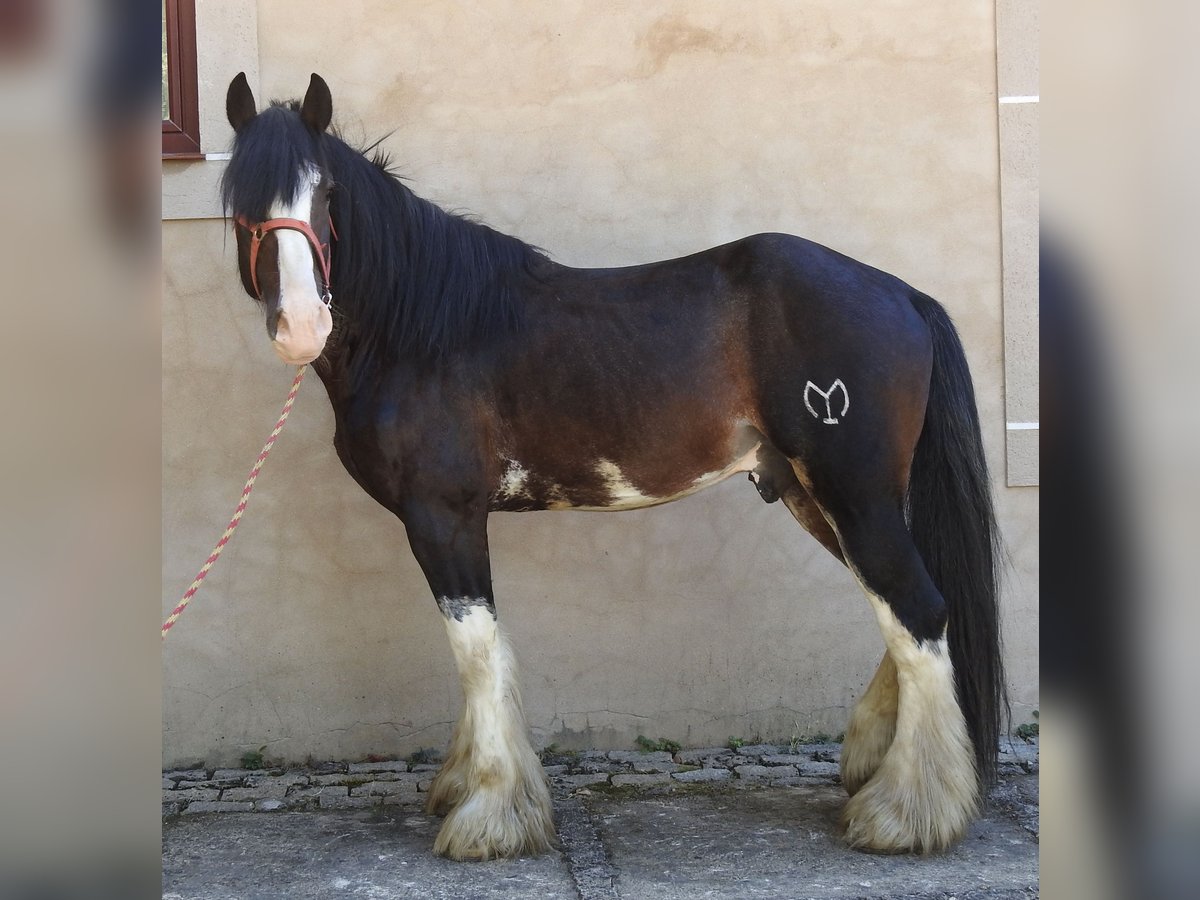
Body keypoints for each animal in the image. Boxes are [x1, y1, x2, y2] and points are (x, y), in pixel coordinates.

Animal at [223, 74, 1003, 864]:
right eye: (240, 201)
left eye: (326, 195)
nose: (300, 326)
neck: (423, 329)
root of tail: (901, 294)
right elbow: (484, 655)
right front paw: (469, 785)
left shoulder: (444, 518)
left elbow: (476, 651)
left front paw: (489, 816)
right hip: (815, 497)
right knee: (898, 611)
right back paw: (876, 767)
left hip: (854, 494)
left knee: (918, 611)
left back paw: (907, 813)